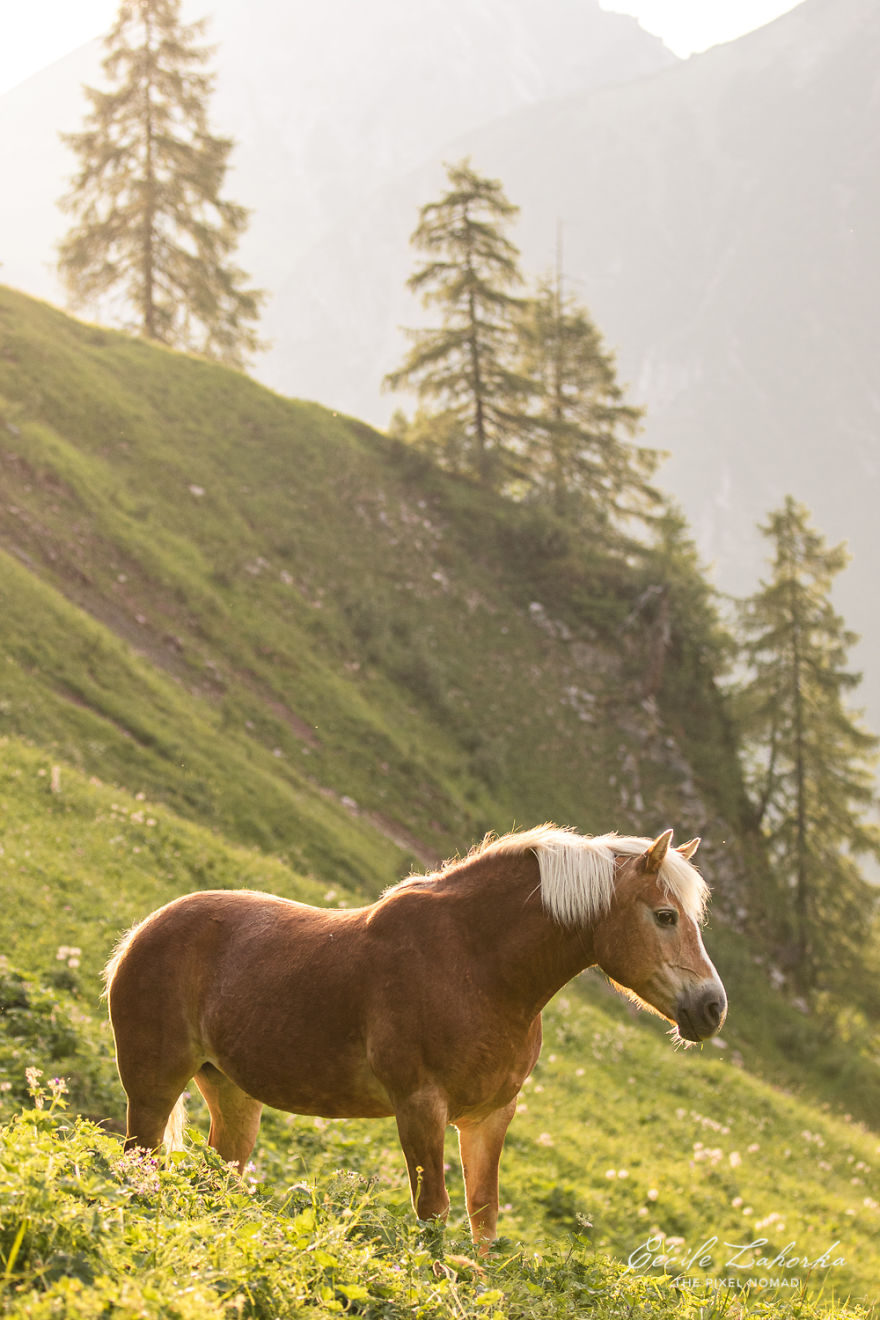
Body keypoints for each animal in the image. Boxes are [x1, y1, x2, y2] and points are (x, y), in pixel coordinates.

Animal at [104, 825, 726, 1243]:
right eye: (666, 916)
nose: (713, 1007)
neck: (477, 966)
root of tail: (142, 932)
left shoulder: (489, 1117)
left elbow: (483, 1216)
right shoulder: (421, 1108)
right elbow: (434, 1210)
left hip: (233, 1096)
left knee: (219, 1174)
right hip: (153, 1088)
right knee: (139, 1156)